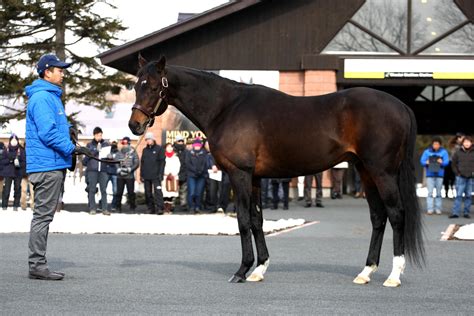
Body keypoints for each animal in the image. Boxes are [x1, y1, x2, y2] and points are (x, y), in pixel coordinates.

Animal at [128, 55, 424, 288]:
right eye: (135, 85)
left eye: (152, 86)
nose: (135, 125)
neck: (226, 107)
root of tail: (401, 106)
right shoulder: (255, 178)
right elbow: (257, 220)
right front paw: (259, 269)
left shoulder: (239, 174)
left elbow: (243, 220)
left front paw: (242, 270)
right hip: (366, 171)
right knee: (378, 217)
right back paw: (365, 272)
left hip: (382, 172)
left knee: (397, 214)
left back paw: (394, 276)